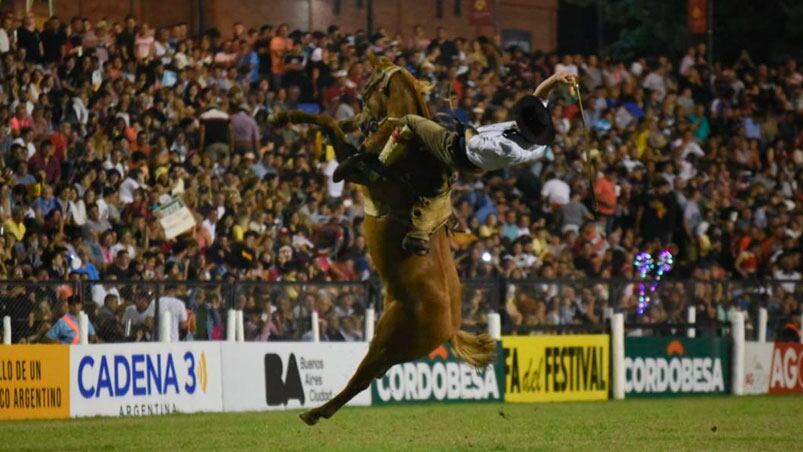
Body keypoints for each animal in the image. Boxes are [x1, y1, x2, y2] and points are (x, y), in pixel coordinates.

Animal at [272, 54, 496, 426]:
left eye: (367, 88)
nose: (361, 119)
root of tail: (450, 327)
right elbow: (328, 122)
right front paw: (284, 115)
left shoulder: (369, 176)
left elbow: (332, 129)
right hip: (387, 339)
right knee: (368, 376)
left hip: (389, 342)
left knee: (361, 379)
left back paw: (315, 412)